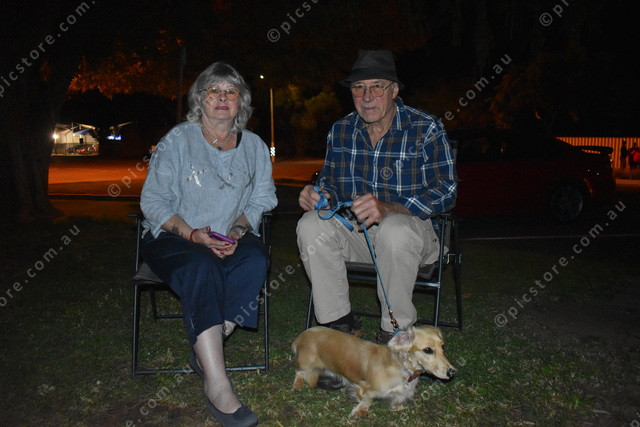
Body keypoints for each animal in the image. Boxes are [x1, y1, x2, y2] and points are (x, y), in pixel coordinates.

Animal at [292, 325, 456, 416]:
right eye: (428, 350)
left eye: (443, 347)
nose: (452, 372)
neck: (402, 367)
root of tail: (302, 335)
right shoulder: (364, 388)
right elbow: (367, 400)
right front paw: (359, 412)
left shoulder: (400, 393)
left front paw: (397, 408)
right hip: (306, 364)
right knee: (299, 372)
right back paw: (297, 385)